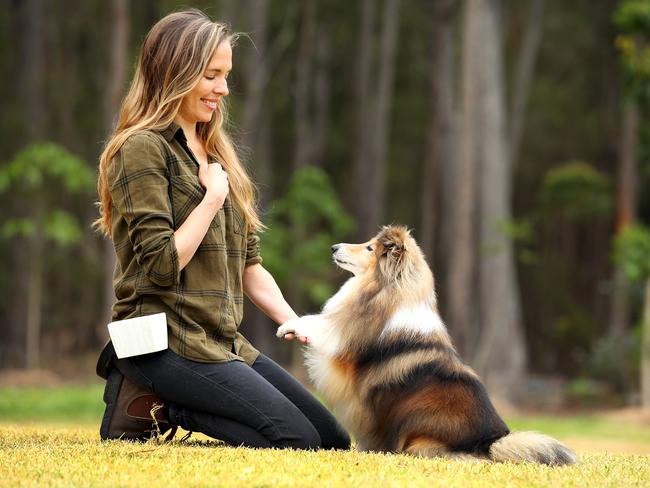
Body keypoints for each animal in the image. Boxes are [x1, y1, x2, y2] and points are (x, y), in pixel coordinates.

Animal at [276, 226, 576, 466]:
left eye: (370, 247)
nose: (334, 247)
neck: (387, 288)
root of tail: (490, 441)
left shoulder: (348, 337)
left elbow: (323, 326)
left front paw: (290, 325)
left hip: (421, 439)